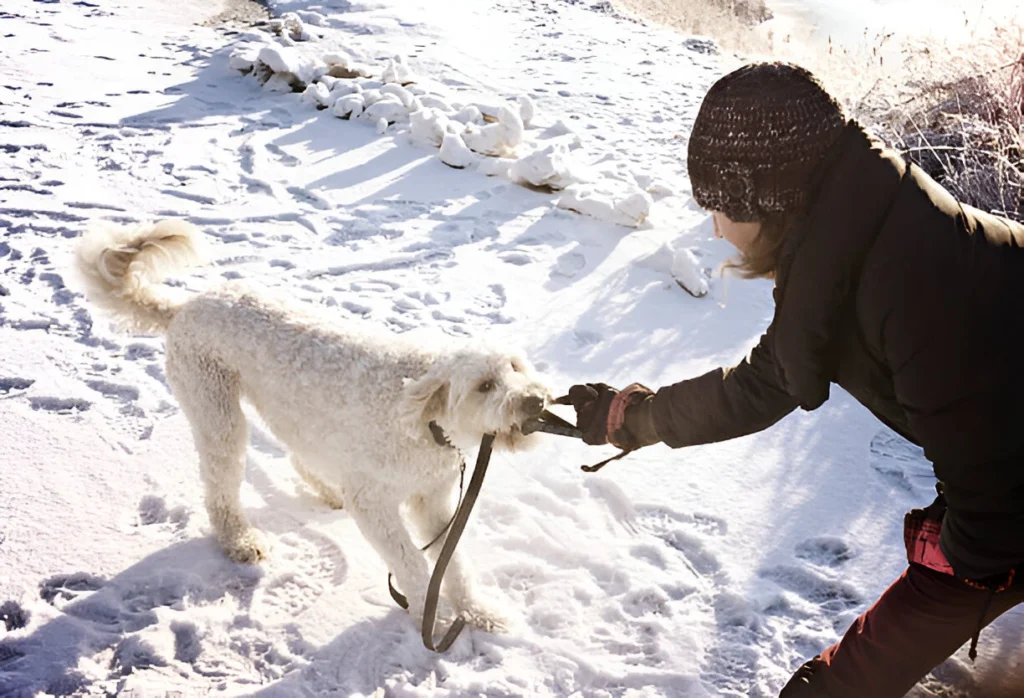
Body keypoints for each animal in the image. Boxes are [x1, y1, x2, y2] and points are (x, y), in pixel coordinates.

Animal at [72, 219, 552, 630]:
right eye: (484, 385)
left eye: (514, 366)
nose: (534, 400)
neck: (425, 423)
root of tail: (186, 306)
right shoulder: (373, 502)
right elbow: (411, 562)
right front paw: (428, 617)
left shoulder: (435, 500)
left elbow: (456, 563)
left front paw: (478, 612)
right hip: (218, 411)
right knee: (222, 487)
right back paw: (240, 540)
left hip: (296, 409)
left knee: (300, 457)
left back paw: (325, 490)